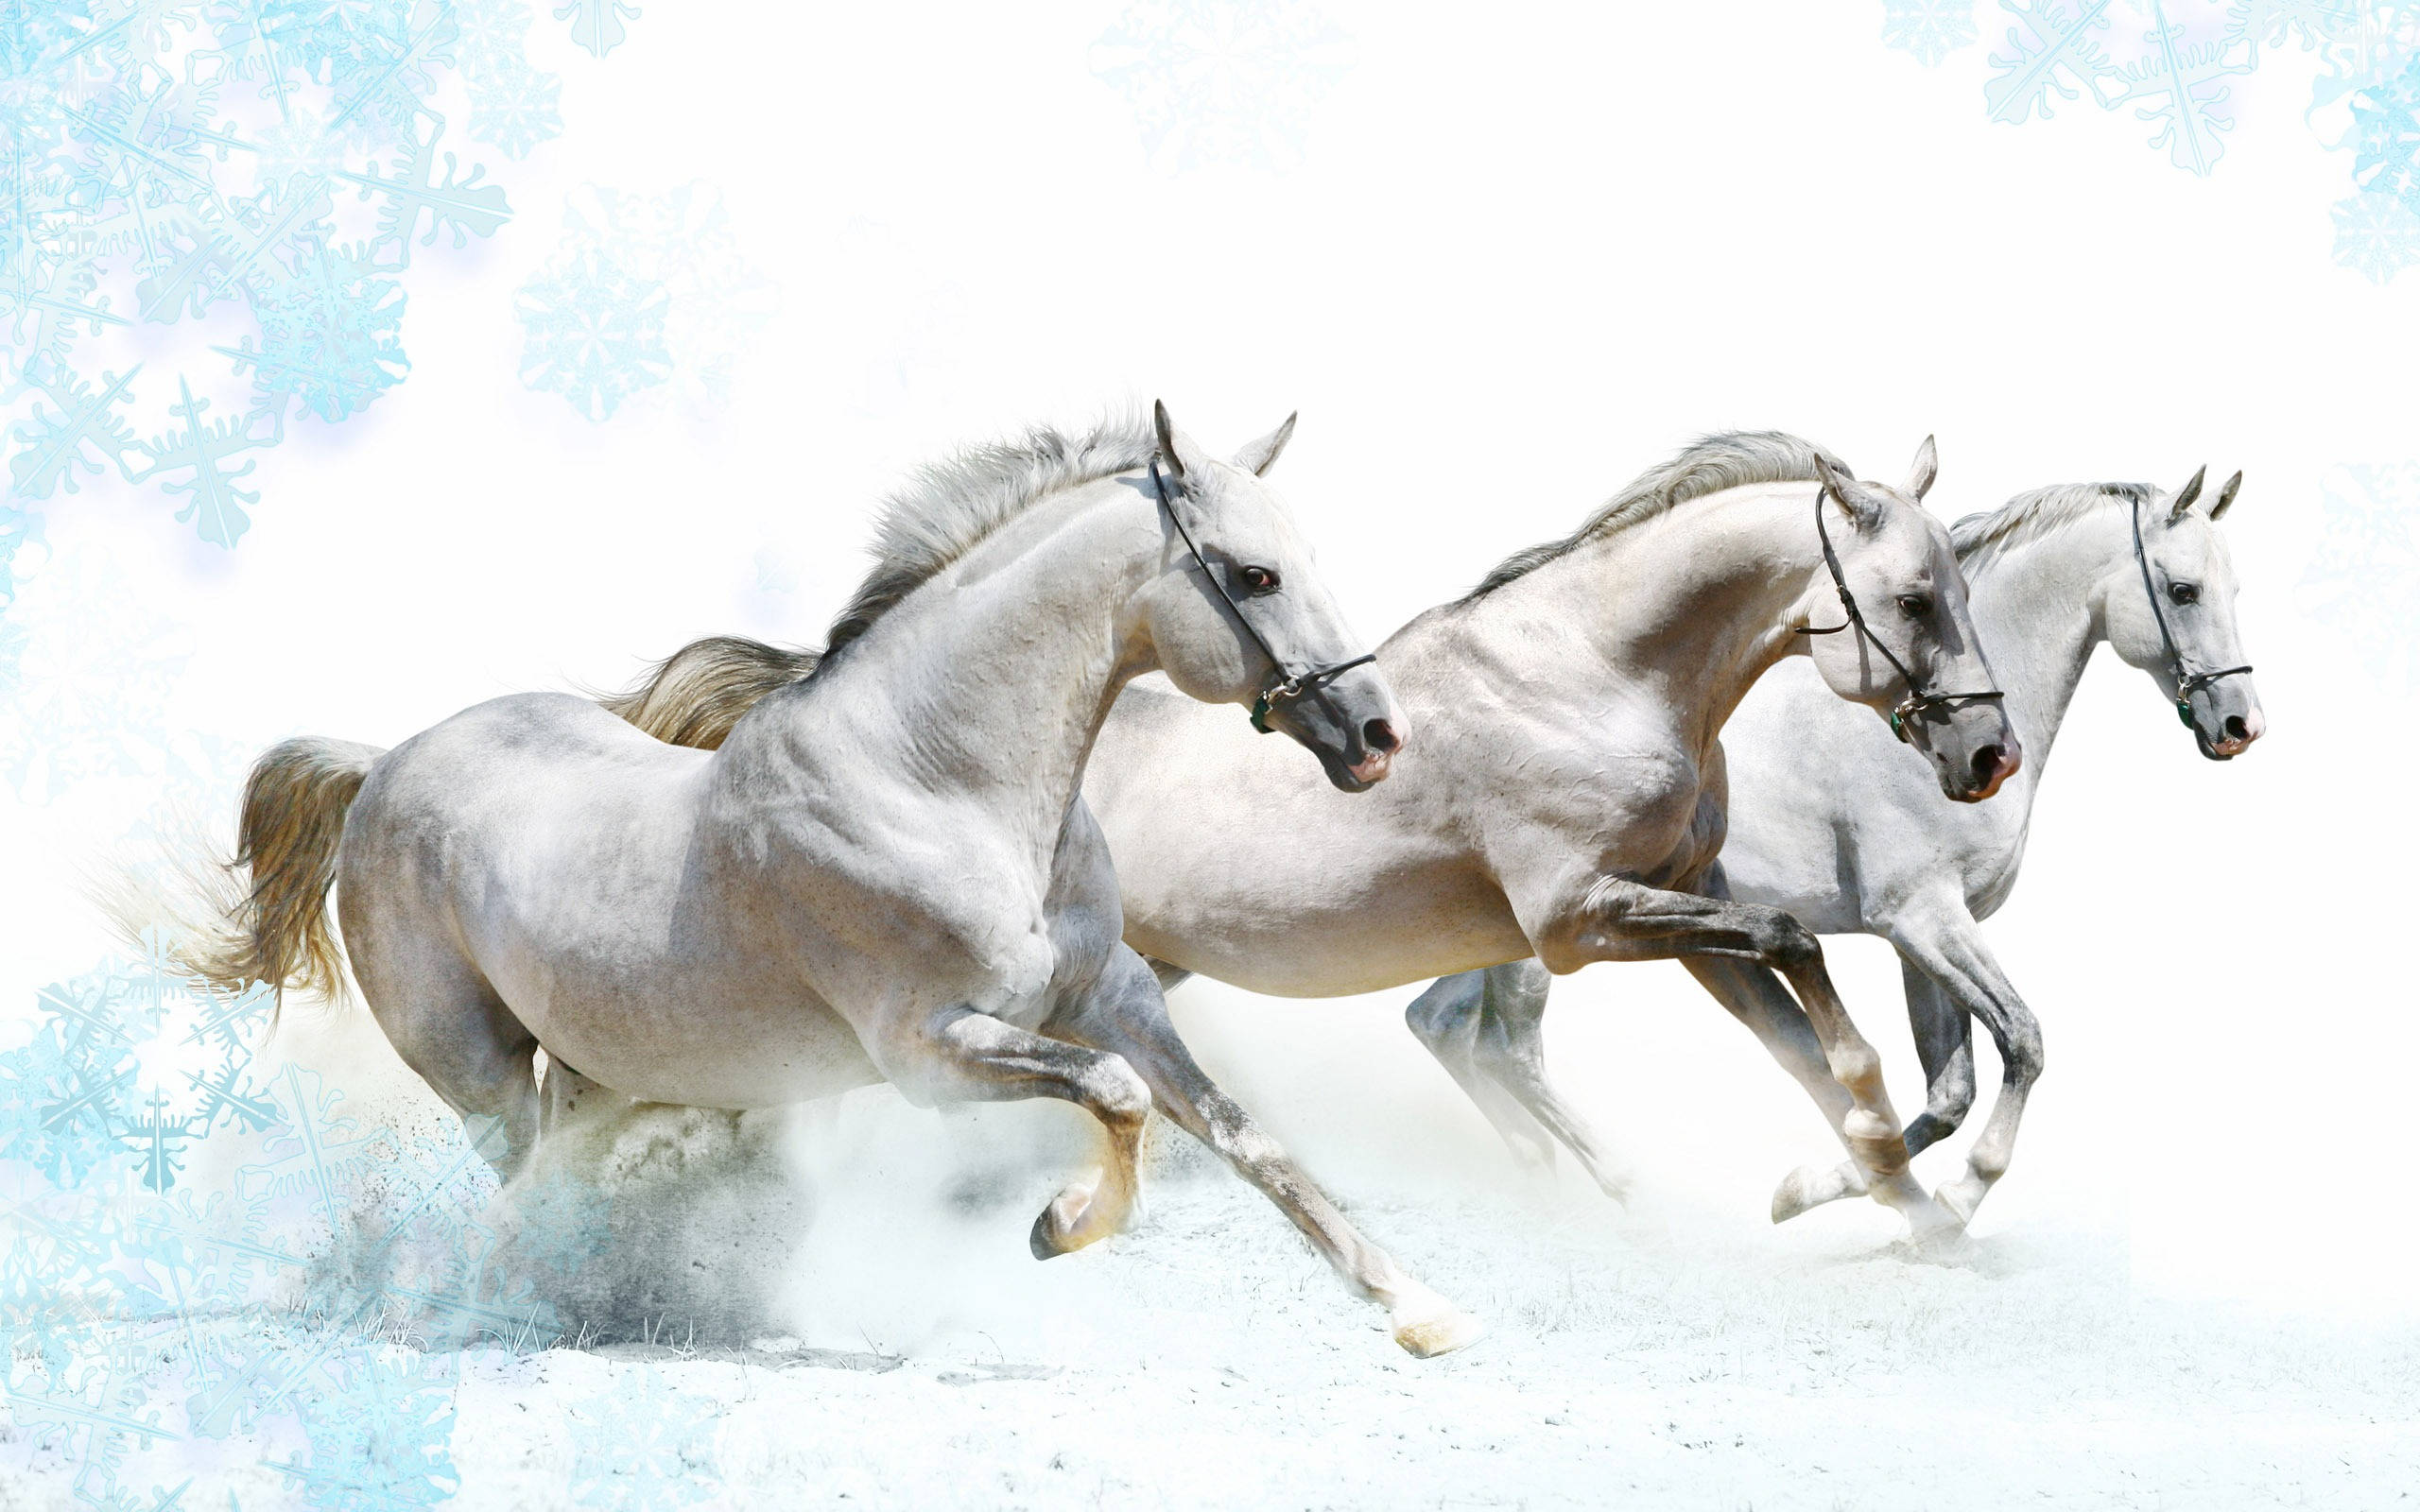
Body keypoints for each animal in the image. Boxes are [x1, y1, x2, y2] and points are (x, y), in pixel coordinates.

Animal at [197, 404, 1487, 1357]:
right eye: (1253, 574)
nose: (1377, 733)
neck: (937, 779)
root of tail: (383, 762)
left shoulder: (1113, 994)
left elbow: (1241, 1135)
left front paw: (1422, 1311)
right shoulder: (930, 1050)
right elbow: (1119, 1098)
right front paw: (1059, 1227)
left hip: (596, 1062)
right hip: (477, 1071)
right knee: (526, 1179)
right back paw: (529, 1302)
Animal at [603, 432, 2022, 1237]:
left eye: (1958, 587)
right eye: (1913, 597)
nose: (1986, 755)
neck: (1597, 673)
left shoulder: (1678, 914)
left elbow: (1806, 1027)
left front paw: (1898, 1209)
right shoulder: (1580, 920)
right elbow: (1800, 953)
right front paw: (1878, 1172)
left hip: (1117, 979)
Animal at [1403, 468, 2263, 1229]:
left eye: (2234, 591)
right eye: (2183, 590)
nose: (2240, 725)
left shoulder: (1925, 936)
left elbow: (1948, 1093)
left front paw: (1826, 1189)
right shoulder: (1921, 919)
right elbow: (2022, 1041)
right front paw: (1949, 1198)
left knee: (1441, 1023)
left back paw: (1542, 1179)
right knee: (1506, 1046)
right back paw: (1619, 1188)